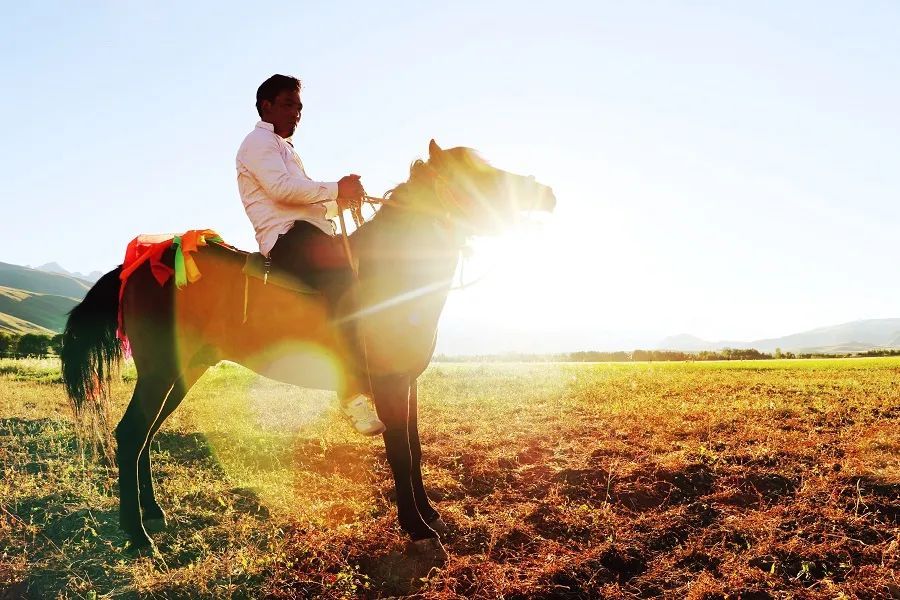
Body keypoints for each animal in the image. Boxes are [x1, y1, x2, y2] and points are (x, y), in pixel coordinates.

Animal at [59, 139, 556, 556]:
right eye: (476, 173)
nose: (546, 192)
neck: (392, 271)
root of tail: (141, 263)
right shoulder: (389, 383)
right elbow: (398, 450)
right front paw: (416, 527)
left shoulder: (408, 381)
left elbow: (414, 448)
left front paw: (429, 513)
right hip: (162, 371)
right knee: (130, 435)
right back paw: (137, 534)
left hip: (181, 373)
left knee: (144, 436)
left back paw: (153, 514)